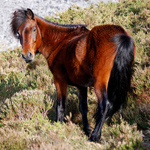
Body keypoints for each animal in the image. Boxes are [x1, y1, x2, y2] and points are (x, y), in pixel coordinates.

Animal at [9, 8, 135, 142]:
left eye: (33, 29)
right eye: (18, 33)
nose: (26, 55)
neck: (60, 41)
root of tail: (120, 36)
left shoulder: (59, 81)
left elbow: (60, 106)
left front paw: (57, 127)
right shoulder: (81, 86)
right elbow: (83, 108)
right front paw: (86, 129)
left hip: (100, 83)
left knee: (104, 105)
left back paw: (95, 136)